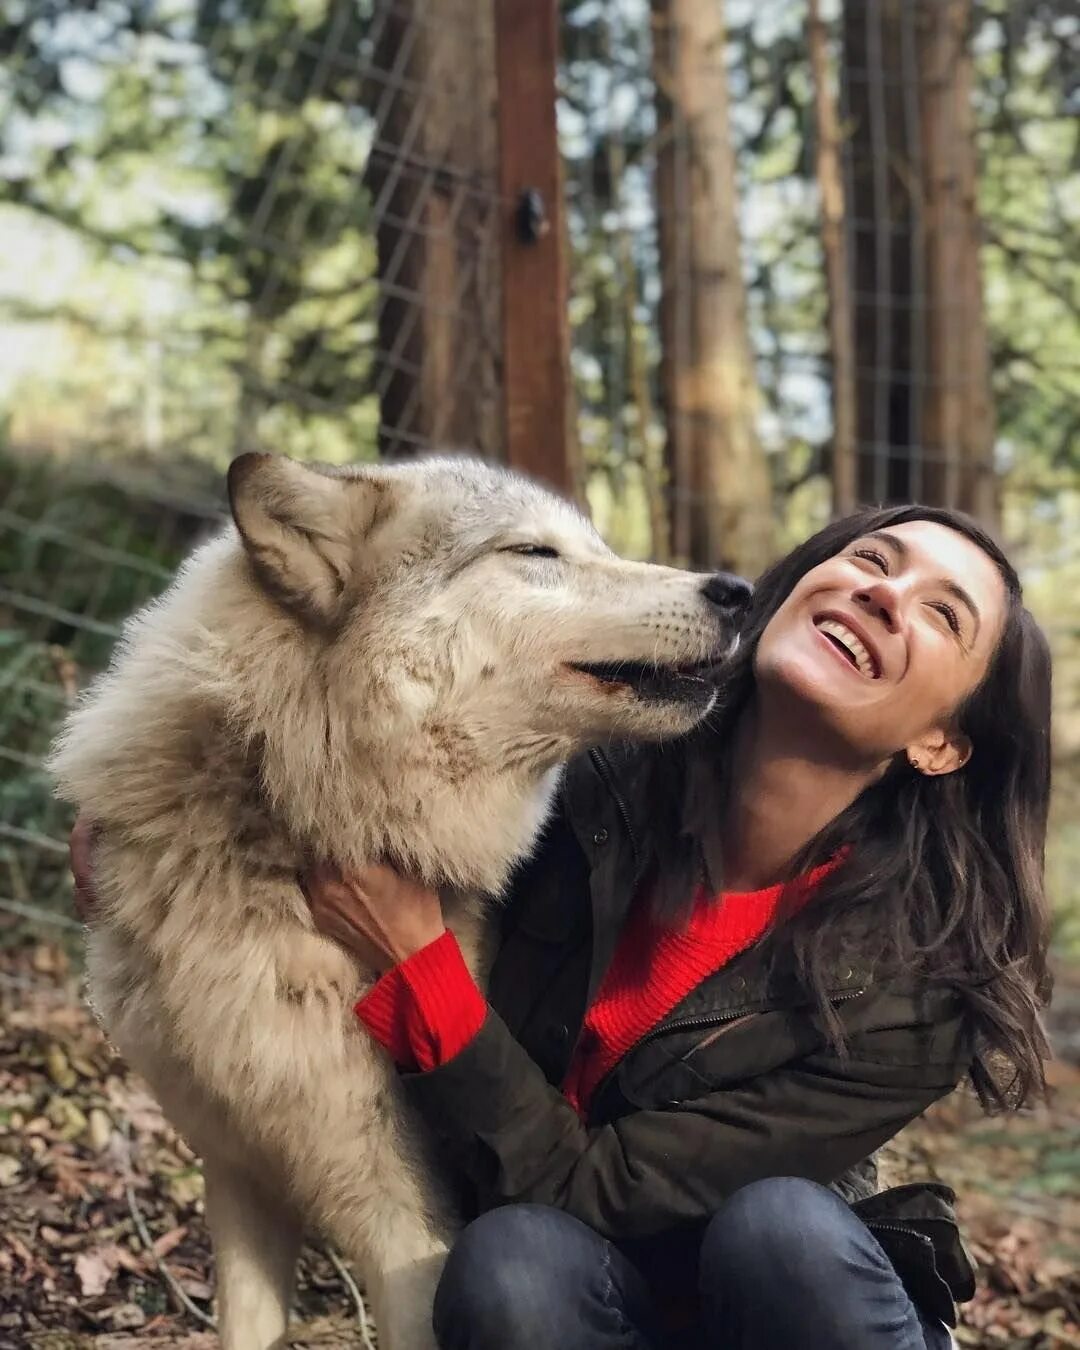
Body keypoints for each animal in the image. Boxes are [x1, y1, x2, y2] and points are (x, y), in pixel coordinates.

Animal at [46, 453, 745, 1350]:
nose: (736, 590)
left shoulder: (409, 1232)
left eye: (596, 544)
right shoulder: (240, 1175)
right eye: (535, 552)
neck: (287, 822)